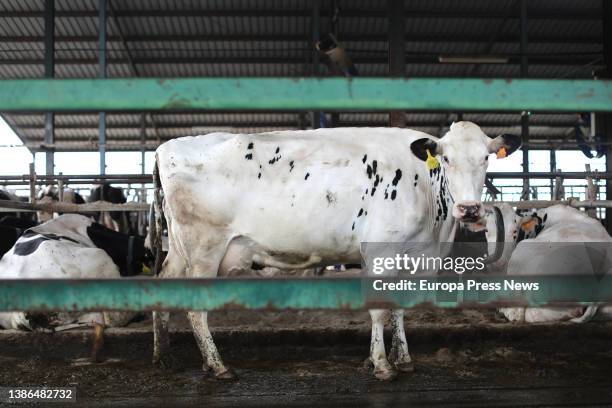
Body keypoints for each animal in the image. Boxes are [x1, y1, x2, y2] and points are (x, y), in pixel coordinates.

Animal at [151, 120, 520, 380]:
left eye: (485, 158)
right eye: (446, 159)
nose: (469, 209)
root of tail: (166, 147)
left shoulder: (414, 257)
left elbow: (399, 309)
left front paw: (402, 359)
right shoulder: (380, 252)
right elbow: (379, 310)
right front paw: (381, 365)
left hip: (181, 250)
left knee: (163, 285)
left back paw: (163, 356)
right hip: (204, 248)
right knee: (196, 309)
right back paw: (217, 366)